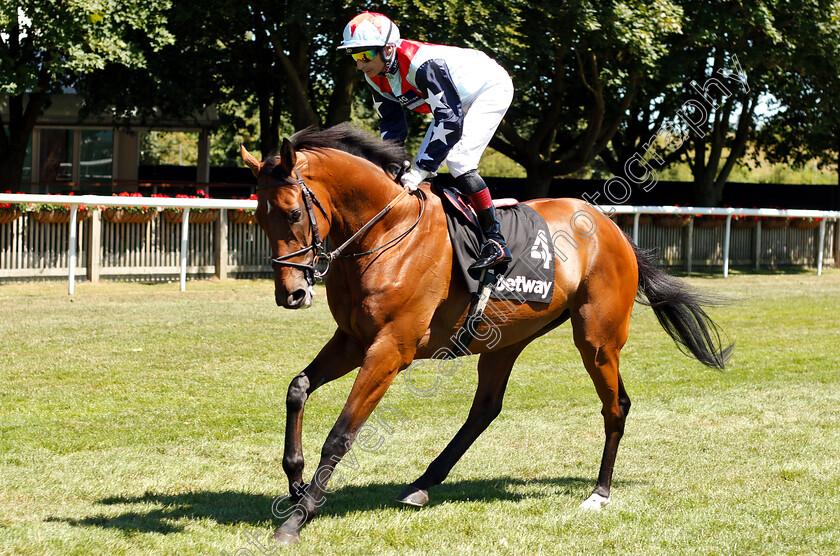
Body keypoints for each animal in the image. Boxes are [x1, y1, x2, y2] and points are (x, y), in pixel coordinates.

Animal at [241, 121, 728, 544]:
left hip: (597, 340)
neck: (385, 234)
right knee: (486, 409)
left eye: (292, 213)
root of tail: (611, 227)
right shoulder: (353, 341)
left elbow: (342, 434)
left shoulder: (390, 349)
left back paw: (599, 493)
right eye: (259, 219)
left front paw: (297, 518)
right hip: (505, 339)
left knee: (616, 406)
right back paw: (422, 483)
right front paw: (296, 482)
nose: (292, 293)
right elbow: (298, 388)